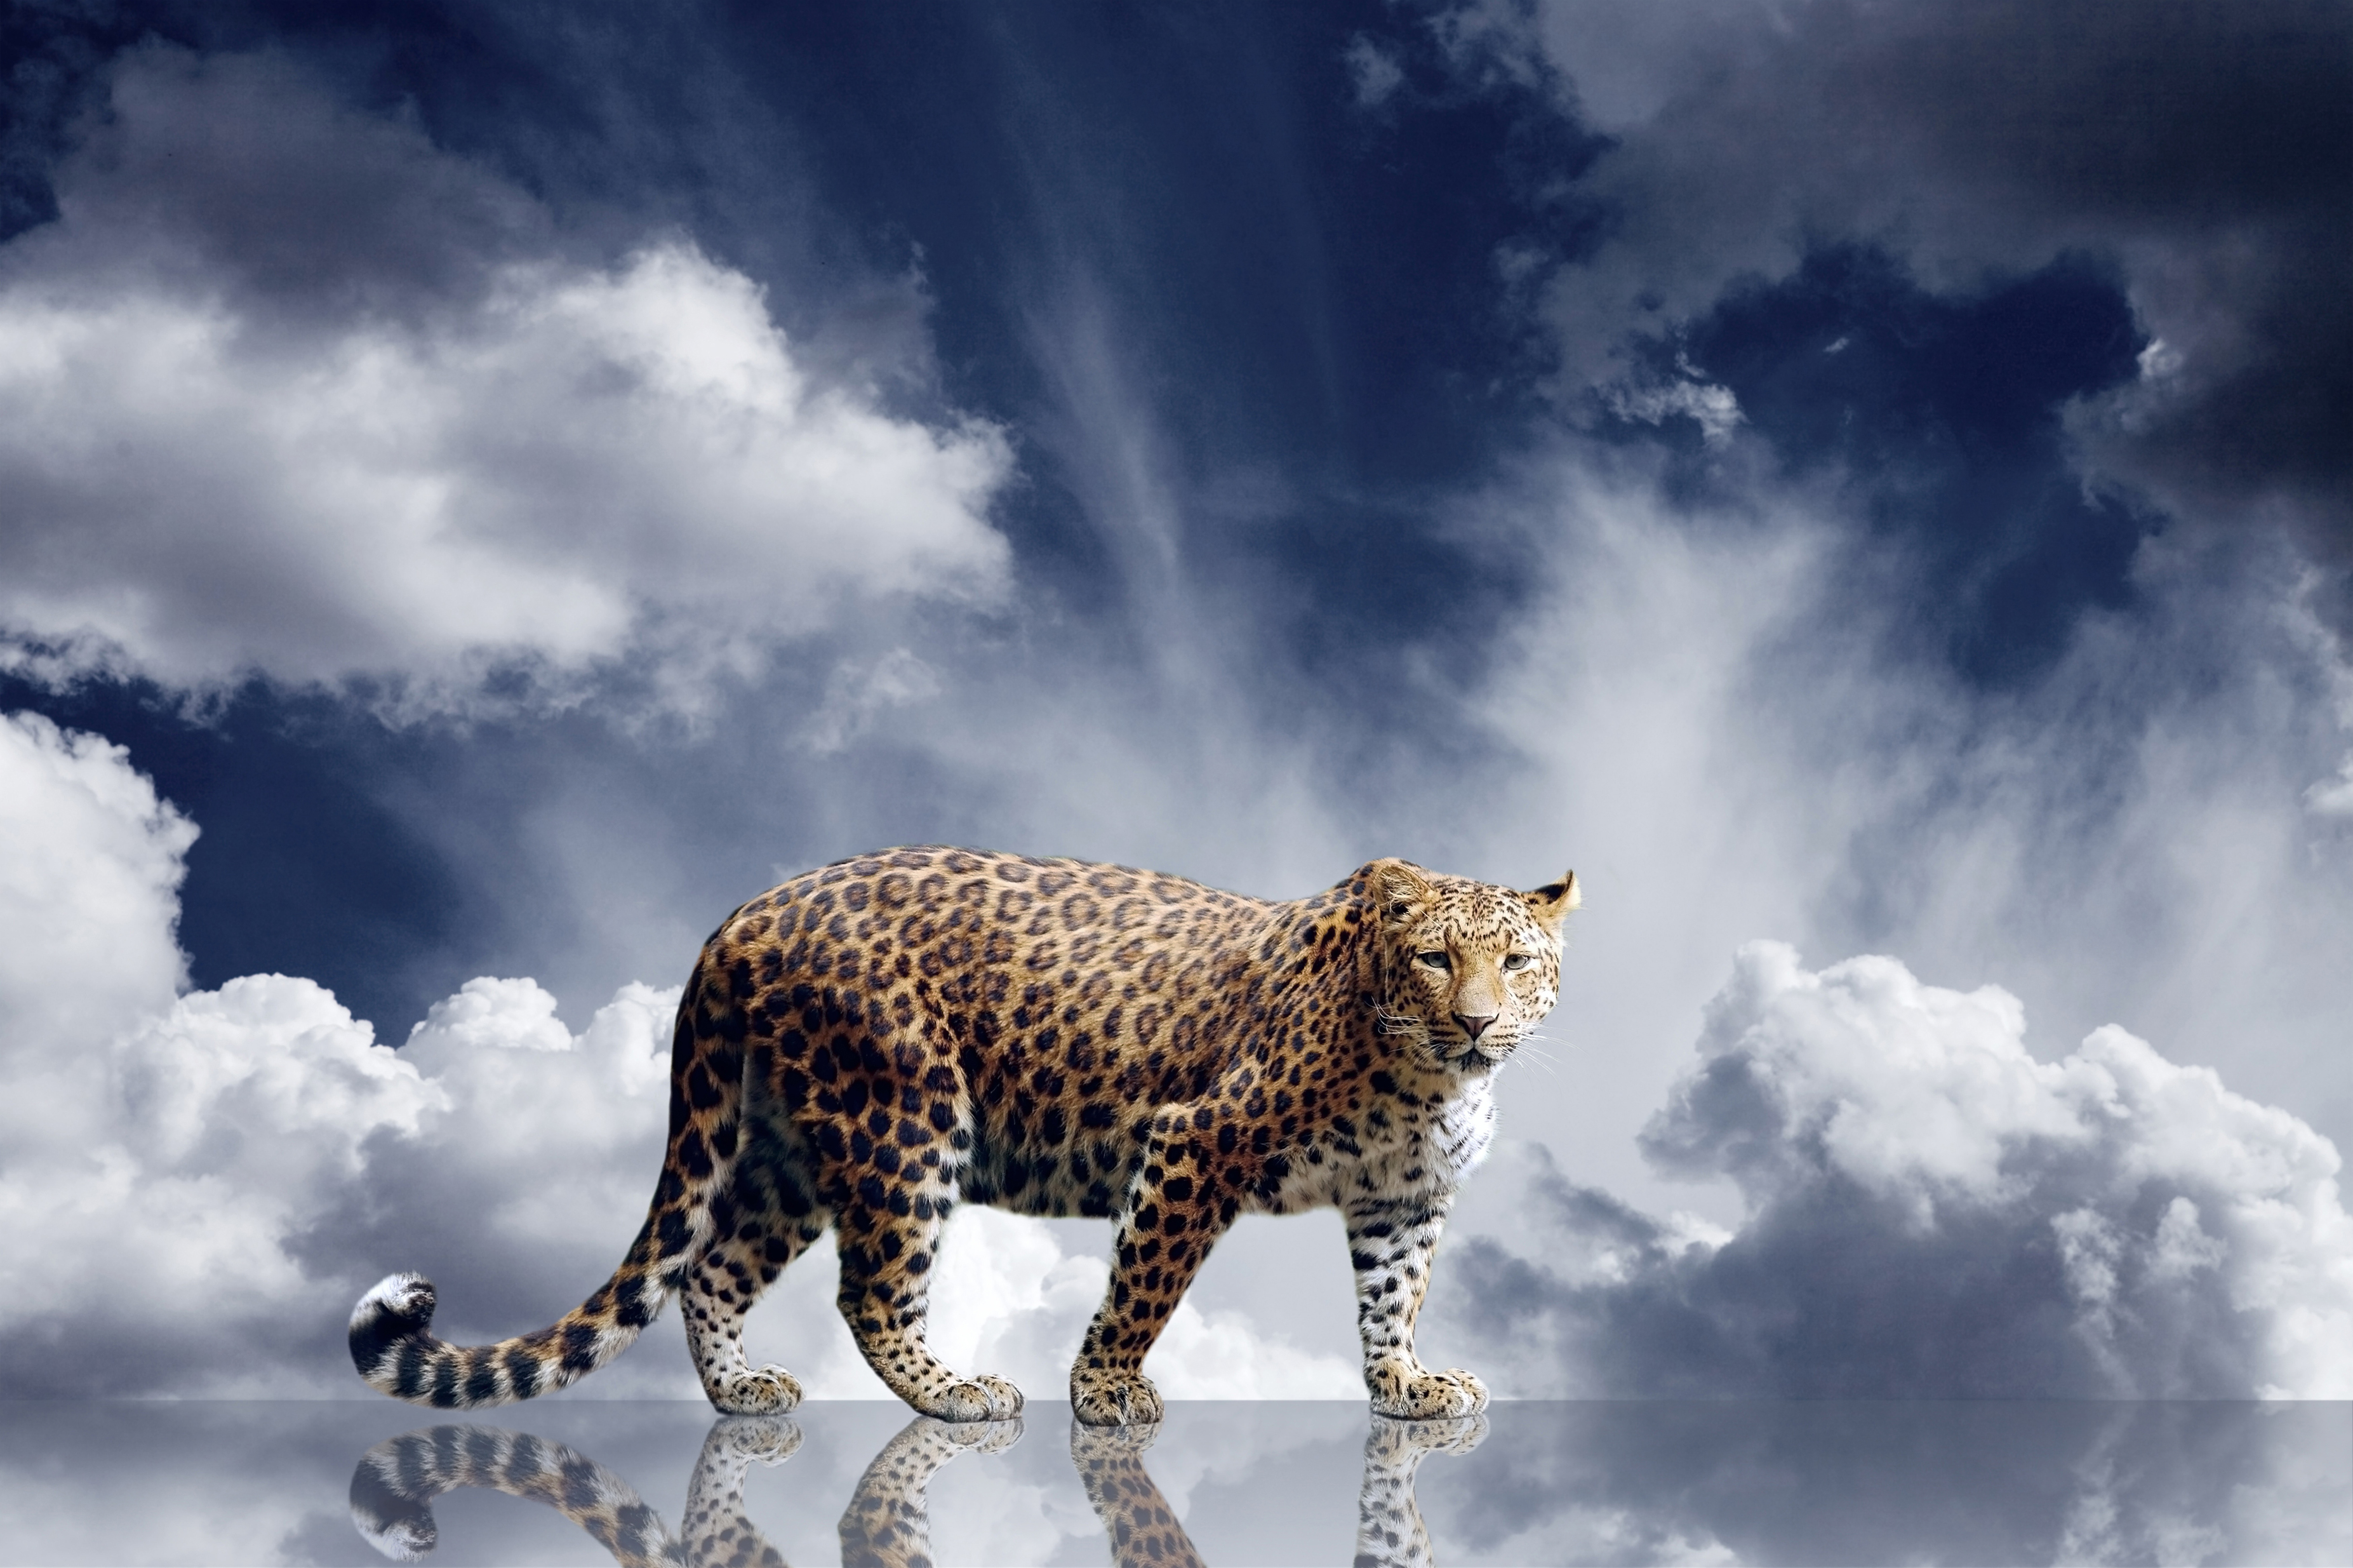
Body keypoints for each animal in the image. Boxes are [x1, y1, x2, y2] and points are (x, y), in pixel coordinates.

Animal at [350, 846, 1576, 1427]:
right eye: (1436, 958)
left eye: (1517, 963)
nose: (1478, 1021)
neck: (1427, 1077)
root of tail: (739, 917)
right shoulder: (1196, 1141)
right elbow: (1146, 1284)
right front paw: (1106, 1392)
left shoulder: (1402, 1197)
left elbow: (1392, 1297)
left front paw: (1407, 1384)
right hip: (905, 1117)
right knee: (870, 1289)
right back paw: (956, 1392)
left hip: (792, 1148)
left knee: (712, 1265)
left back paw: (742, 1389)